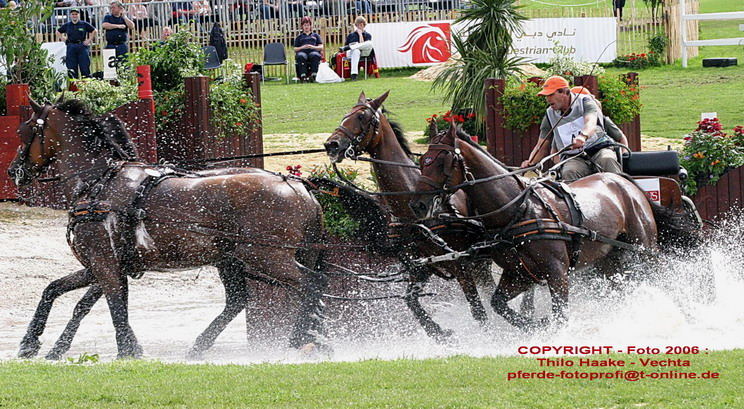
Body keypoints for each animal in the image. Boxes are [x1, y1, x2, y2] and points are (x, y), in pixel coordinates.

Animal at [8, 99, 328, 356]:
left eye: (24, 132)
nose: (13, 171)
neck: (99, 183)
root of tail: (300, 188)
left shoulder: (104, 263)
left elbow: (114, 308)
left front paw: (126, 352)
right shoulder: (103, 265)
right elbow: (56, 291)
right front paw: (33, 344)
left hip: (267, 256)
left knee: (311, 284)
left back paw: (300, 338)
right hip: (232, 260)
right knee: (240, 300)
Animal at [322, 91, 496, 338]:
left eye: (362, 117)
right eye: (346, 114)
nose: (332, 144)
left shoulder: (461, 264)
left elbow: (478, 310)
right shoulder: (420, 266)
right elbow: (412, 302)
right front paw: (440, 333)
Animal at [406, 124, 696, 328]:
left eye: (442, 161)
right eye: (422, 161)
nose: (417, 205)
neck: (518, 209)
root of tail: (626, 182)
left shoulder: (557, 273)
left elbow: (560, 315)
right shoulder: (519, 274)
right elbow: (499, 304)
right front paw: (534, 325)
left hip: (645, 251)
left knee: (665, 280)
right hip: (609, 261)